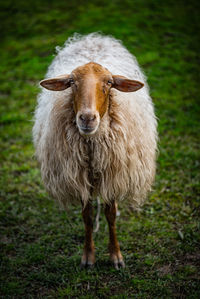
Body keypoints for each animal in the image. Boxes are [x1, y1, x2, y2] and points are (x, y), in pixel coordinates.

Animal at [32, 33, 158, 270]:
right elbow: (87, 217)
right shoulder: (79, 178)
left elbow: (110, 215)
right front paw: (88, 256)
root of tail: (92, 38)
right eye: (71, 82)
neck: (92, 147)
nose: (87, 118)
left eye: (109, 83)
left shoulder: (113, 174)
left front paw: (116, 256)